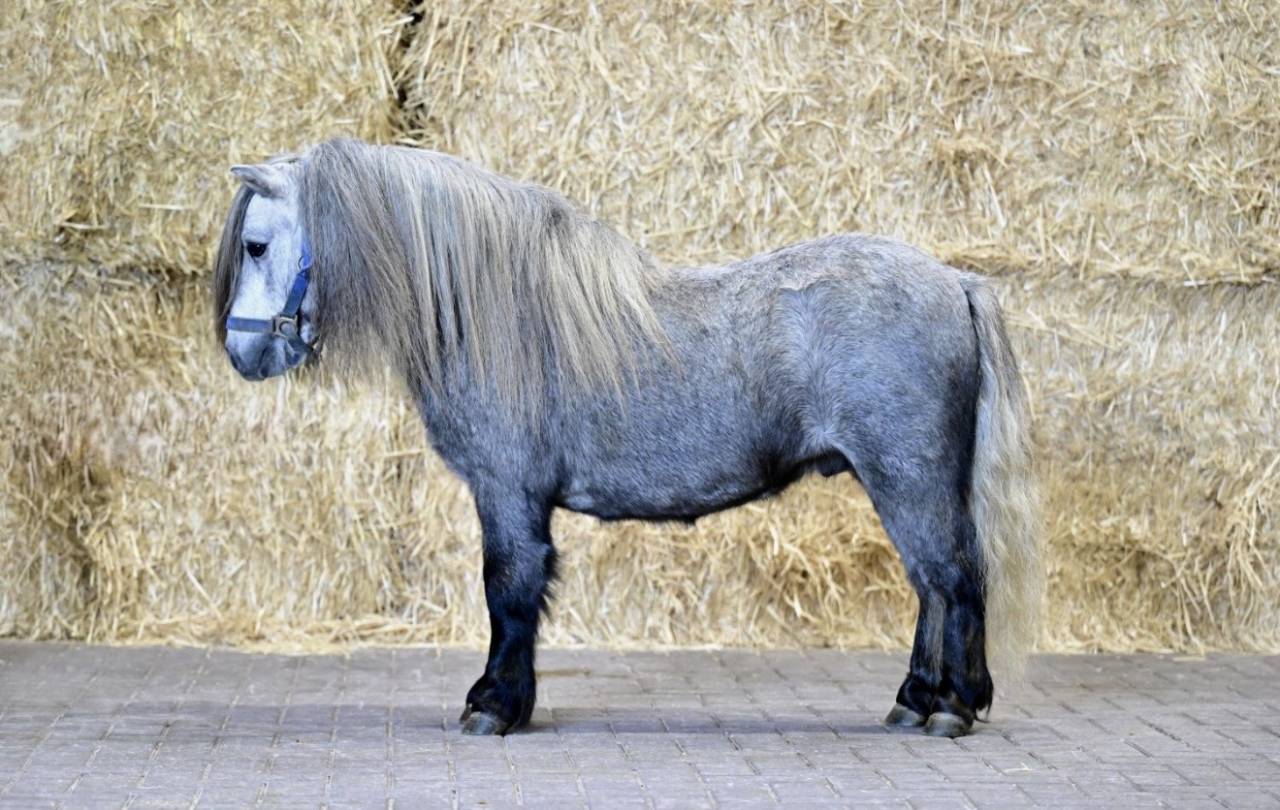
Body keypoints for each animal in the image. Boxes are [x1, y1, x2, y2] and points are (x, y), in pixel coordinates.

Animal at [213, 137, 1042, 738]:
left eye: (255, 245)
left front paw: (494, 704)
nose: (241, 352)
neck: (497, 313)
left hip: (909, 476)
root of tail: (955, 281)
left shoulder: (507, 492)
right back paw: (915, 700)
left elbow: (508, 590)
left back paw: (951, 707)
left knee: (953, 579)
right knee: (932, 585)